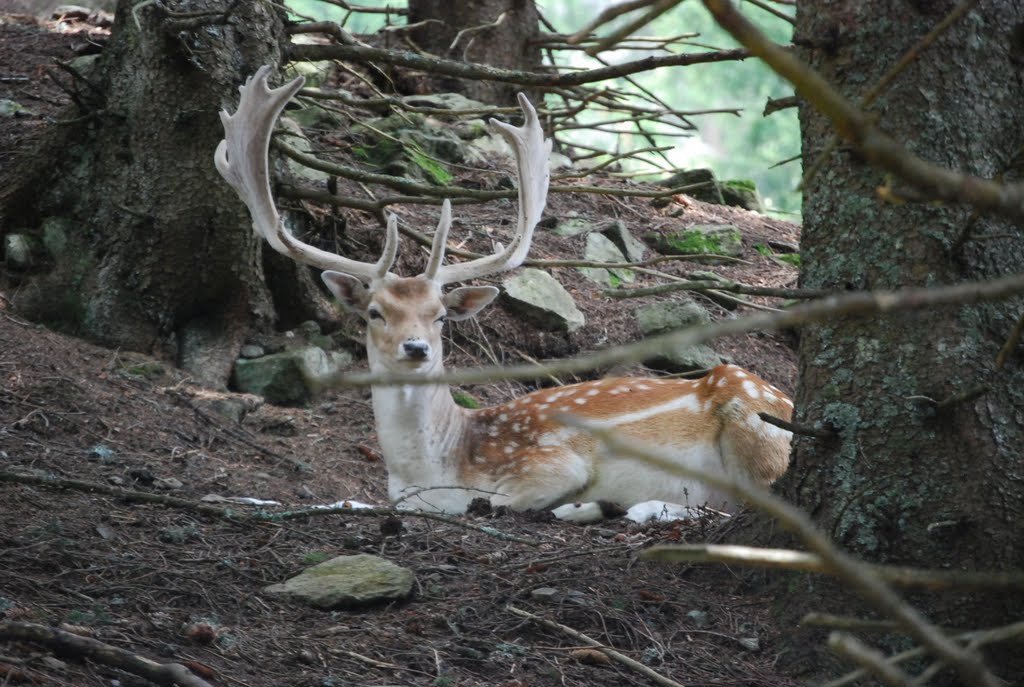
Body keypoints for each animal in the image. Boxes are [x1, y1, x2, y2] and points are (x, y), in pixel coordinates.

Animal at [214, 67, 790, 524]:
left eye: (440, 316)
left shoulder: (549, 464)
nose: (416, 348)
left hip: (756, 426)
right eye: (375, 312)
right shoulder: (398, 497)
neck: (435, 468)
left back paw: (630, 507)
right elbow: (350, 501)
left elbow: (494, 502)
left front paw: (582, 503)